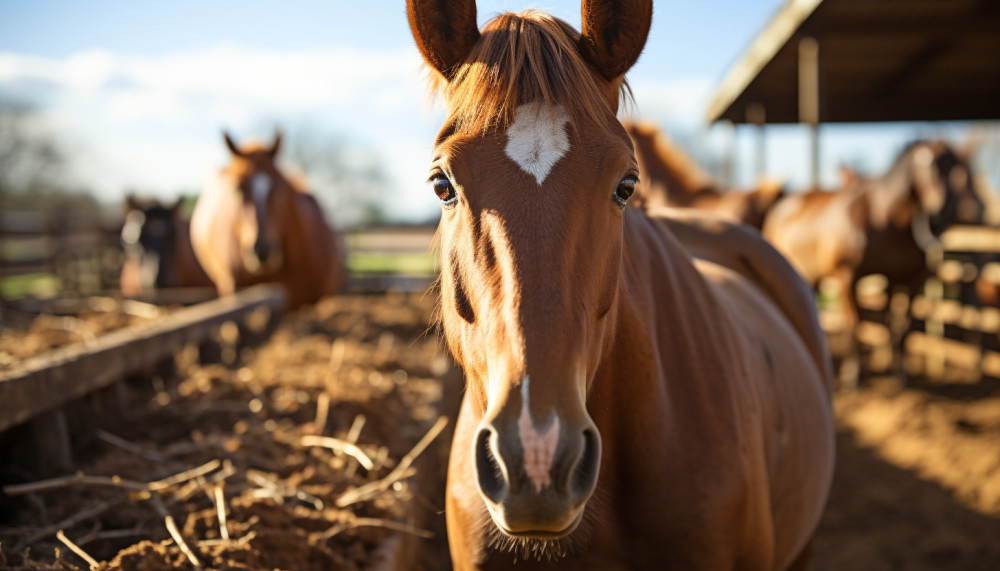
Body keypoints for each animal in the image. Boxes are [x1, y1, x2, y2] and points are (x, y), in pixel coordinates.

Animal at [762, 140, 986, 383]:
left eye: (955, 165)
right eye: (925, 163)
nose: (944, 209)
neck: (887, 219)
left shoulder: (904, 279)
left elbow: (899, 325)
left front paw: (898, 371)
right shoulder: (847, 277)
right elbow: (855, 323)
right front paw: (853, 374)